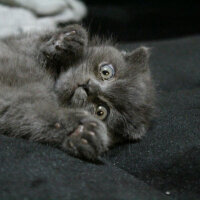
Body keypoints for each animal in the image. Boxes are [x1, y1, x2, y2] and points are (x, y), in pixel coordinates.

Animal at [0, 23, 155, 161]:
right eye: (106, 72)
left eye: (101, 112)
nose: (88, 87)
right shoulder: (18, 45)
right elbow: (34, 44)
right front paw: (67, 38)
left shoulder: (18, 105)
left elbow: (34, 115)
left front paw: (83, 132)